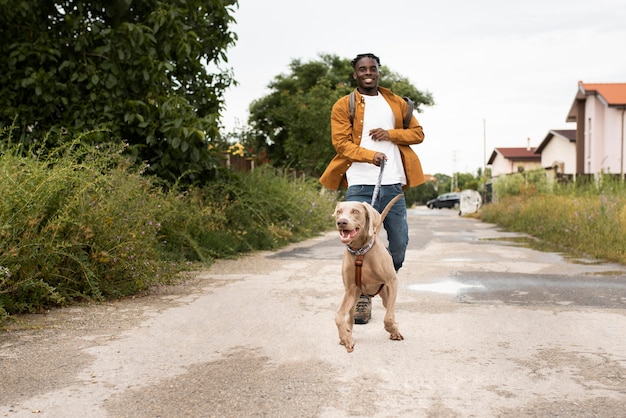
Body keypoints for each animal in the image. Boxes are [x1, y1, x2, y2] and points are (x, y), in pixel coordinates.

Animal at [334, 193, 402, 352]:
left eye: (355, 211)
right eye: (339, 211)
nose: (341, 222)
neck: (360, 252)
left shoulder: (392, 281)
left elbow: (388, 318)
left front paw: (393, 330)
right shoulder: (350, 290)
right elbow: (338, 316)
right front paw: (346, 338)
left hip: (386, 295)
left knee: (390, 310)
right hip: (355, 296)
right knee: (350, 317)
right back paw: (346, 335)